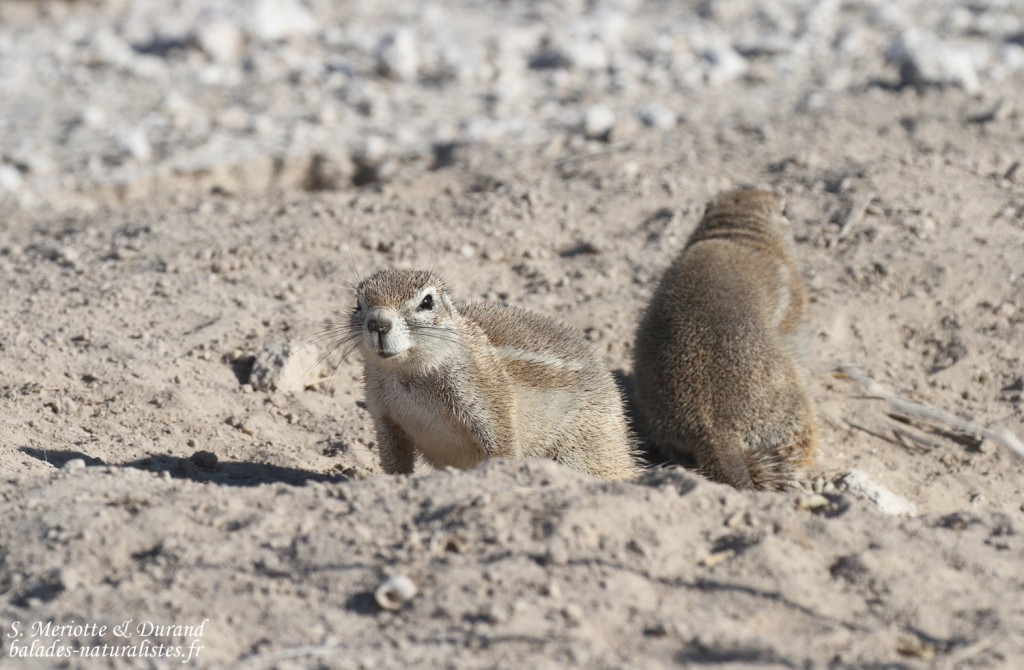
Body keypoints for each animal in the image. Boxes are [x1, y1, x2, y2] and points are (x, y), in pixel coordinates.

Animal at [348, 268, 640, 480]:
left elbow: (501, 442)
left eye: (427, 302)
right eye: (358, 304)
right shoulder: (382, 414)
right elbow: (394, 458)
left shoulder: (487, 398)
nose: (378, 323)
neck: (407, 372)